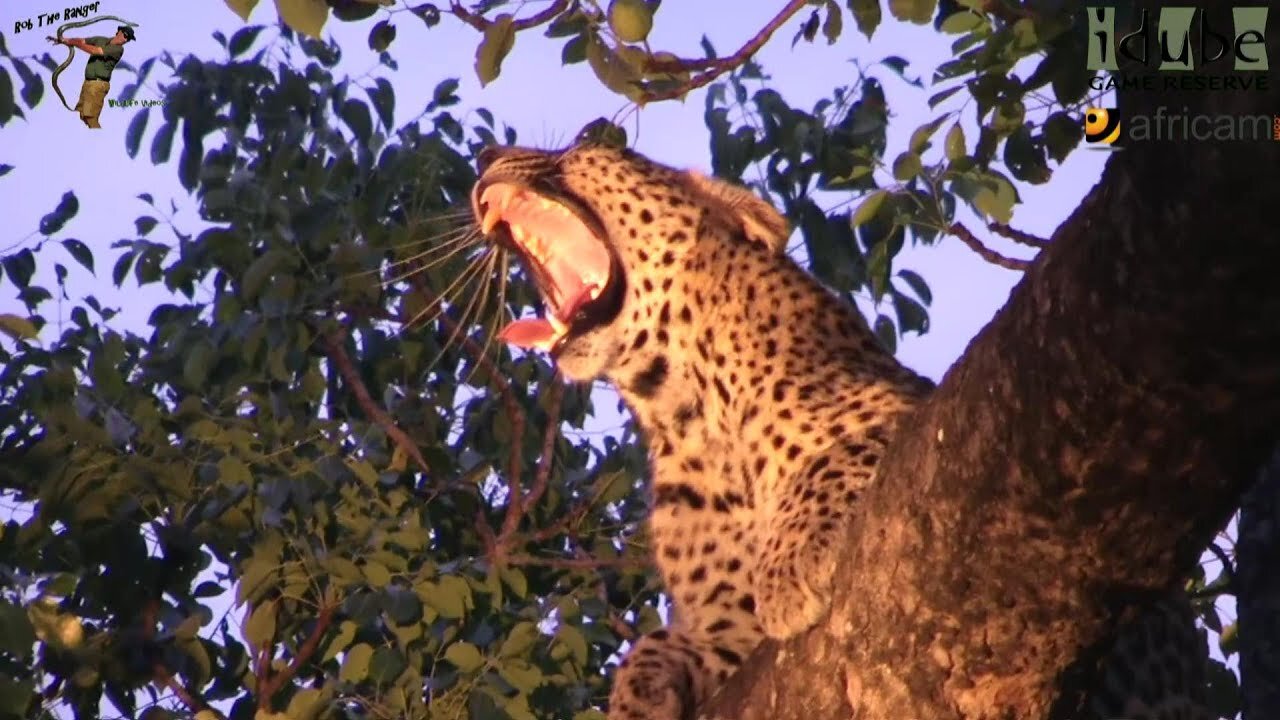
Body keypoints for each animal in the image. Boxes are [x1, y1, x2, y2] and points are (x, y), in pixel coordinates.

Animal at [468, 140, 1208, 717]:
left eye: (588, 141)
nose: (484, 156)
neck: (687, 412)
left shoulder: (931, 419)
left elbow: (839, 455)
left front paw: (789, 568)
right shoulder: (728, 626)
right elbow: (671, 641)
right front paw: (637, 691)